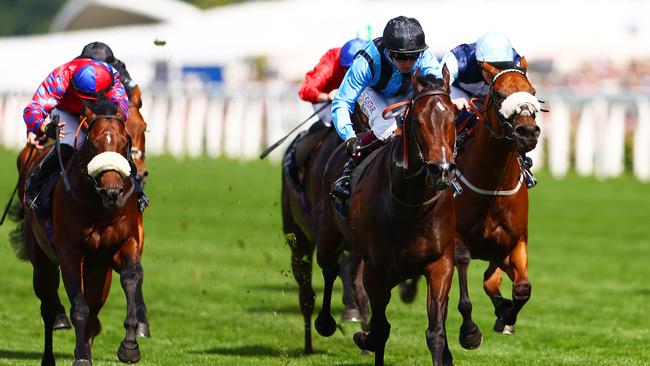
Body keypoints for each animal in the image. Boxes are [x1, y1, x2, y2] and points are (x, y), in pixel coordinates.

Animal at [11, 95, 144, 366]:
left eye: (125, 141)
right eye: (93, 143)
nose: (113, 191)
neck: (99, 207)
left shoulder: (124, 244)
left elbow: (131, 278)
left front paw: (129, 346)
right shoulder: (69, 253)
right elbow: (79, 308)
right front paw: (81, 357)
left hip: (97, 270)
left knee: (94, 308)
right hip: (42, 262)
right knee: (48, 307)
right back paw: (50, 356)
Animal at [312, 68, 460, 364]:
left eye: (452, 118)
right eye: (418, 120)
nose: (442, 170)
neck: (411, 206)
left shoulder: (439, 263)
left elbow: (435, 332)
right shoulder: (376, 271)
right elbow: (380, 330)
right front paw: (362, 336)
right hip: (328, 236)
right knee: (330, 268)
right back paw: (325, 322)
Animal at [450, 58, 540, 340]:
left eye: (532, 92)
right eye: (499, 94)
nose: (528, 132)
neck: (494, 186)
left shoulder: (514, 242)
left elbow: (520, 289)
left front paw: (506, 315)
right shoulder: (457, 239)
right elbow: (465, 277)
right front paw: (470, 331)